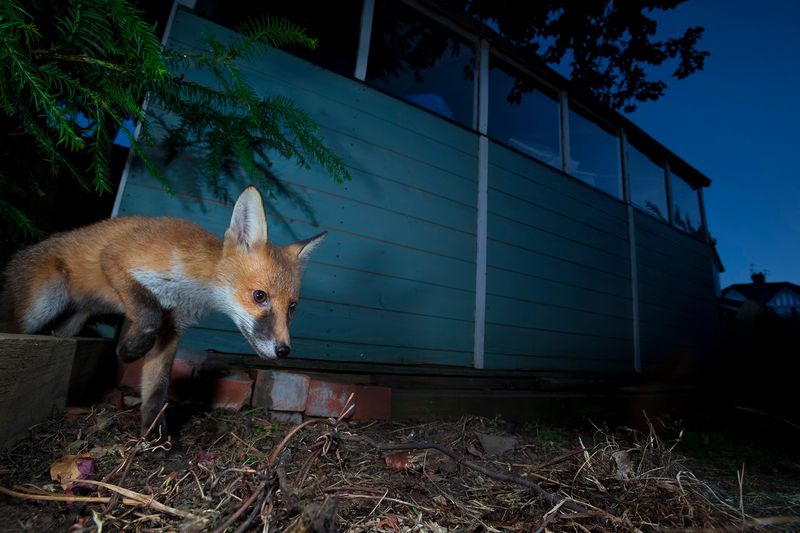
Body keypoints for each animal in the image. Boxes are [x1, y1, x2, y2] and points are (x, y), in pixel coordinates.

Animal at [1, 186, 325, 439]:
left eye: (292, 308)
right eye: (260, 296)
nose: (284, 350)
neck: (192, 287)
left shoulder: (172, 329)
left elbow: (157, 389)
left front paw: (156, 439)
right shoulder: (117, 260)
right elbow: (148, 314)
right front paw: (129, 350)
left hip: (71, 322)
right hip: (39, 309)